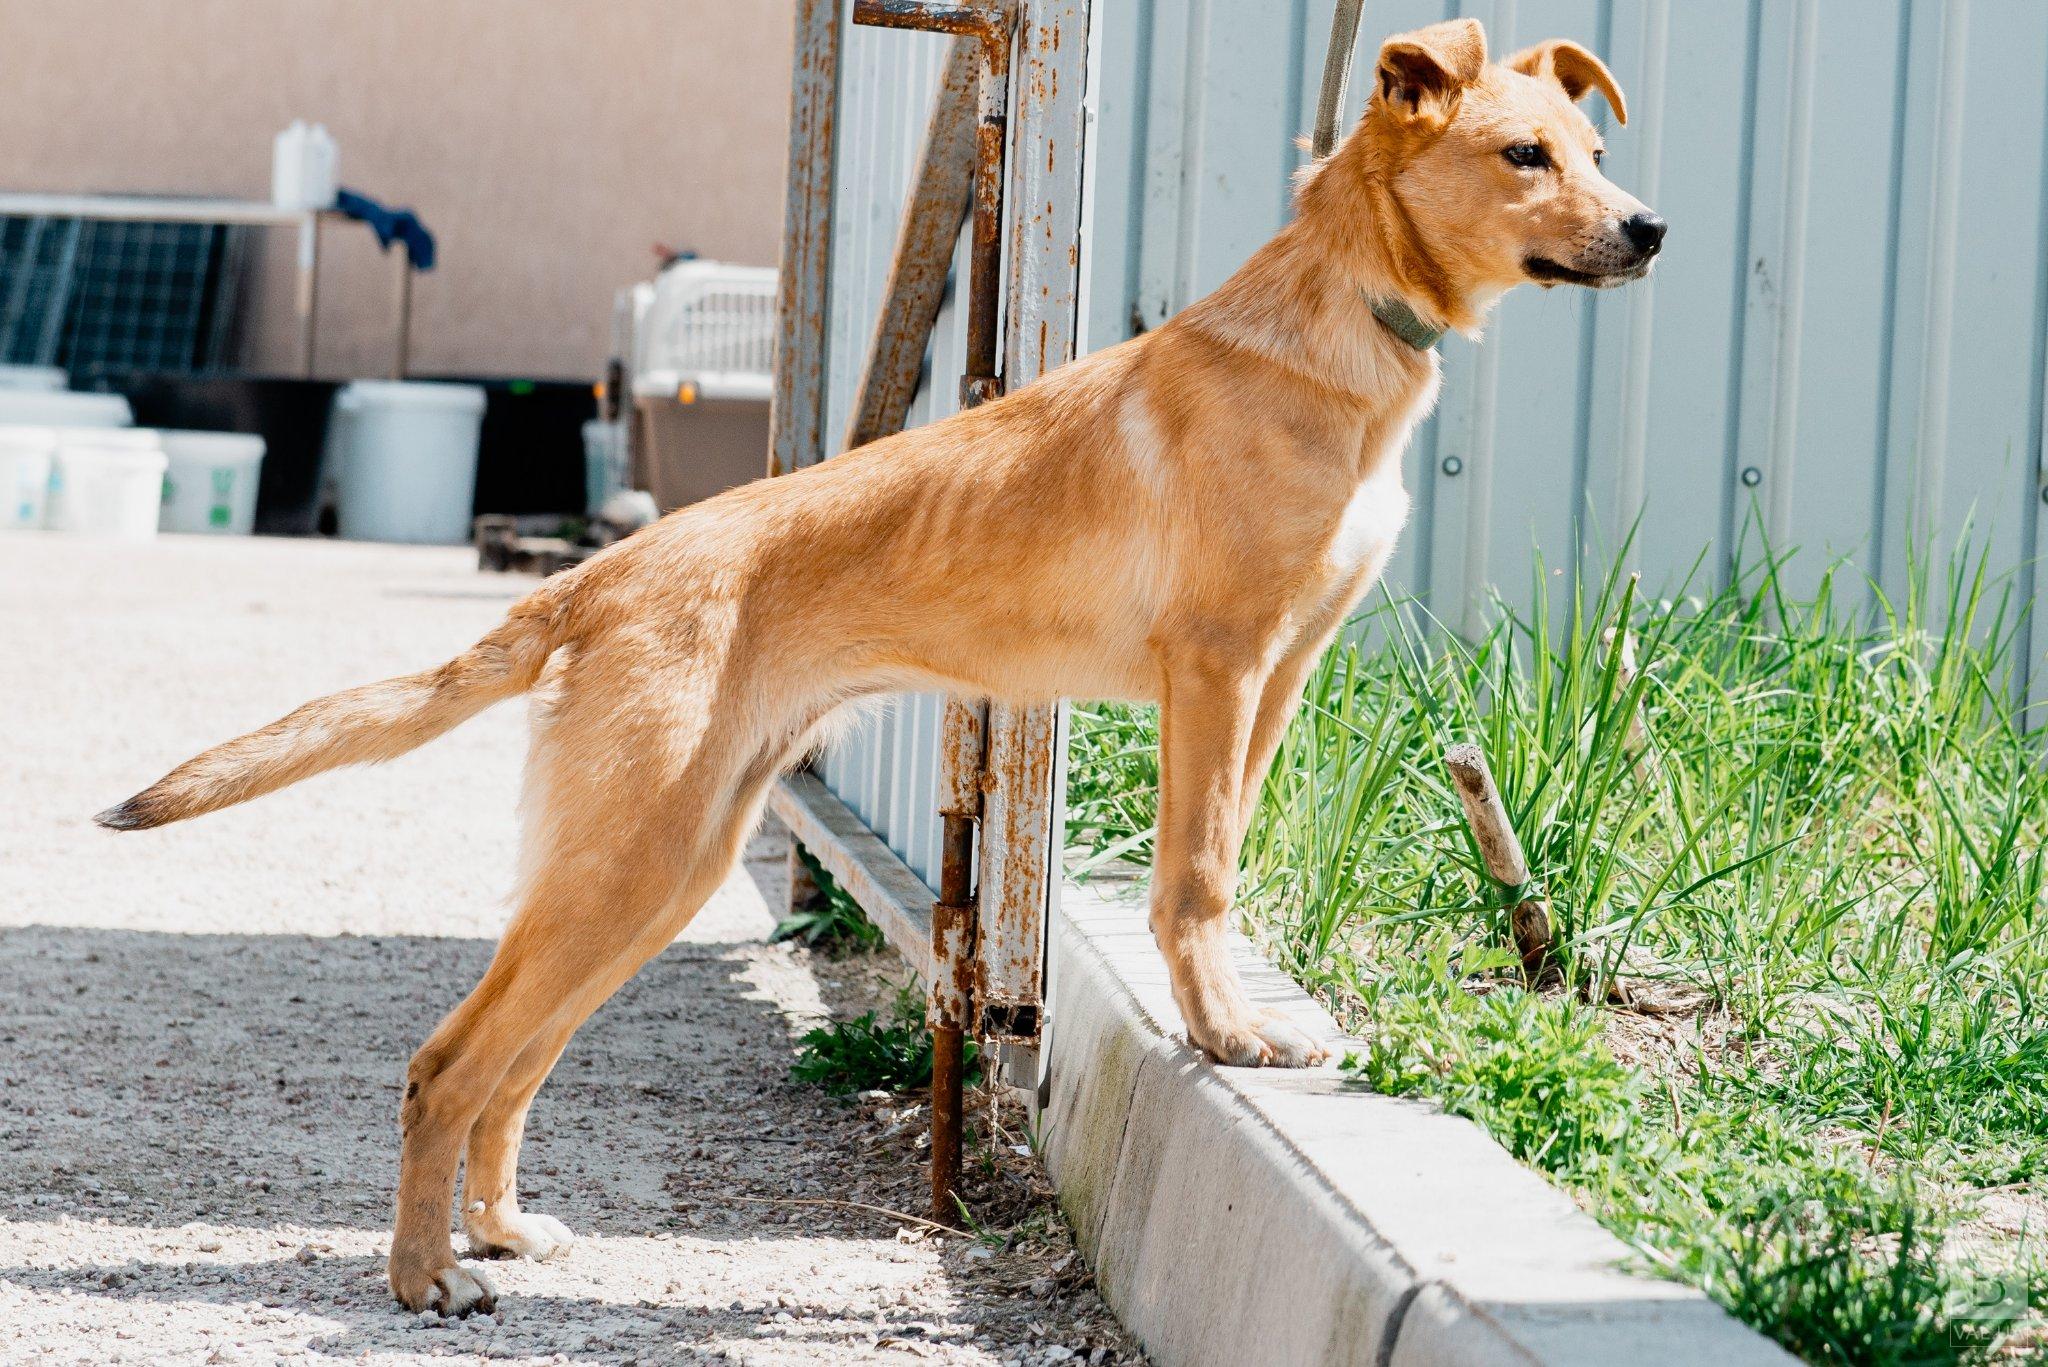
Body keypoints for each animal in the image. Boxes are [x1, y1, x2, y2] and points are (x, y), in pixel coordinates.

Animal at [99, 21, 1662, 1319]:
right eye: (1524, 156)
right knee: (446, 1062)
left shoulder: (1275, 681)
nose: (1651, 228)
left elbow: (1214, 860)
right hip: (630, 859)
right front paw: (1227, 1037)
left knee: (510, 1060)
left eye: (1594, 151)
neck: (1341, 315)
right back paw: (427, 1276)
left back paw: (496, 1230)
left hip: (657, 869)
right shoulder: (1215, 669)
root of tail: (603, 572)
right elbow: (1199, 874)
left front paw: (1229, 1020)